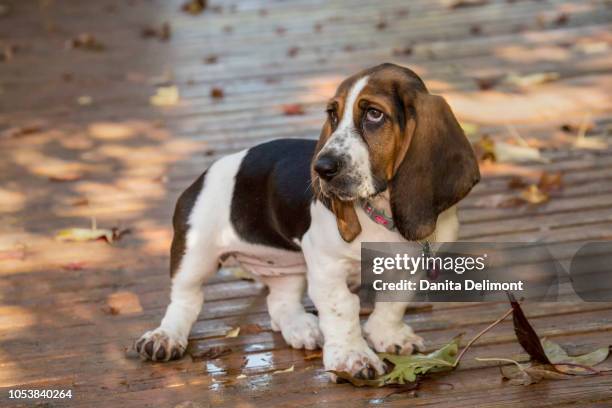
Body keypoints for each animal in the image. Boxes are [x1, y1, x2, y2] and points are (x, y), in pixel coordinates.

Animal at [136, 62, 480, 380]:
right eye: (332, 115)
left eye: (374, 114)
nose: (321, 168)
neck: (382, 214)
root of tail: (203, 175)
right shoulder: (327, 265)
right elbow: (343, 308)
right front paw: (353, 357)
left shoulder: (409, 267)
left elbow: (394, 303)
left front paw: (389, 336)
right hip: (196, 254)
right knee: (186, 299)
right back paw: (164, 337)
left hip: (288, 265)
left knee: (280, 302)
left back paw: (303, 328)